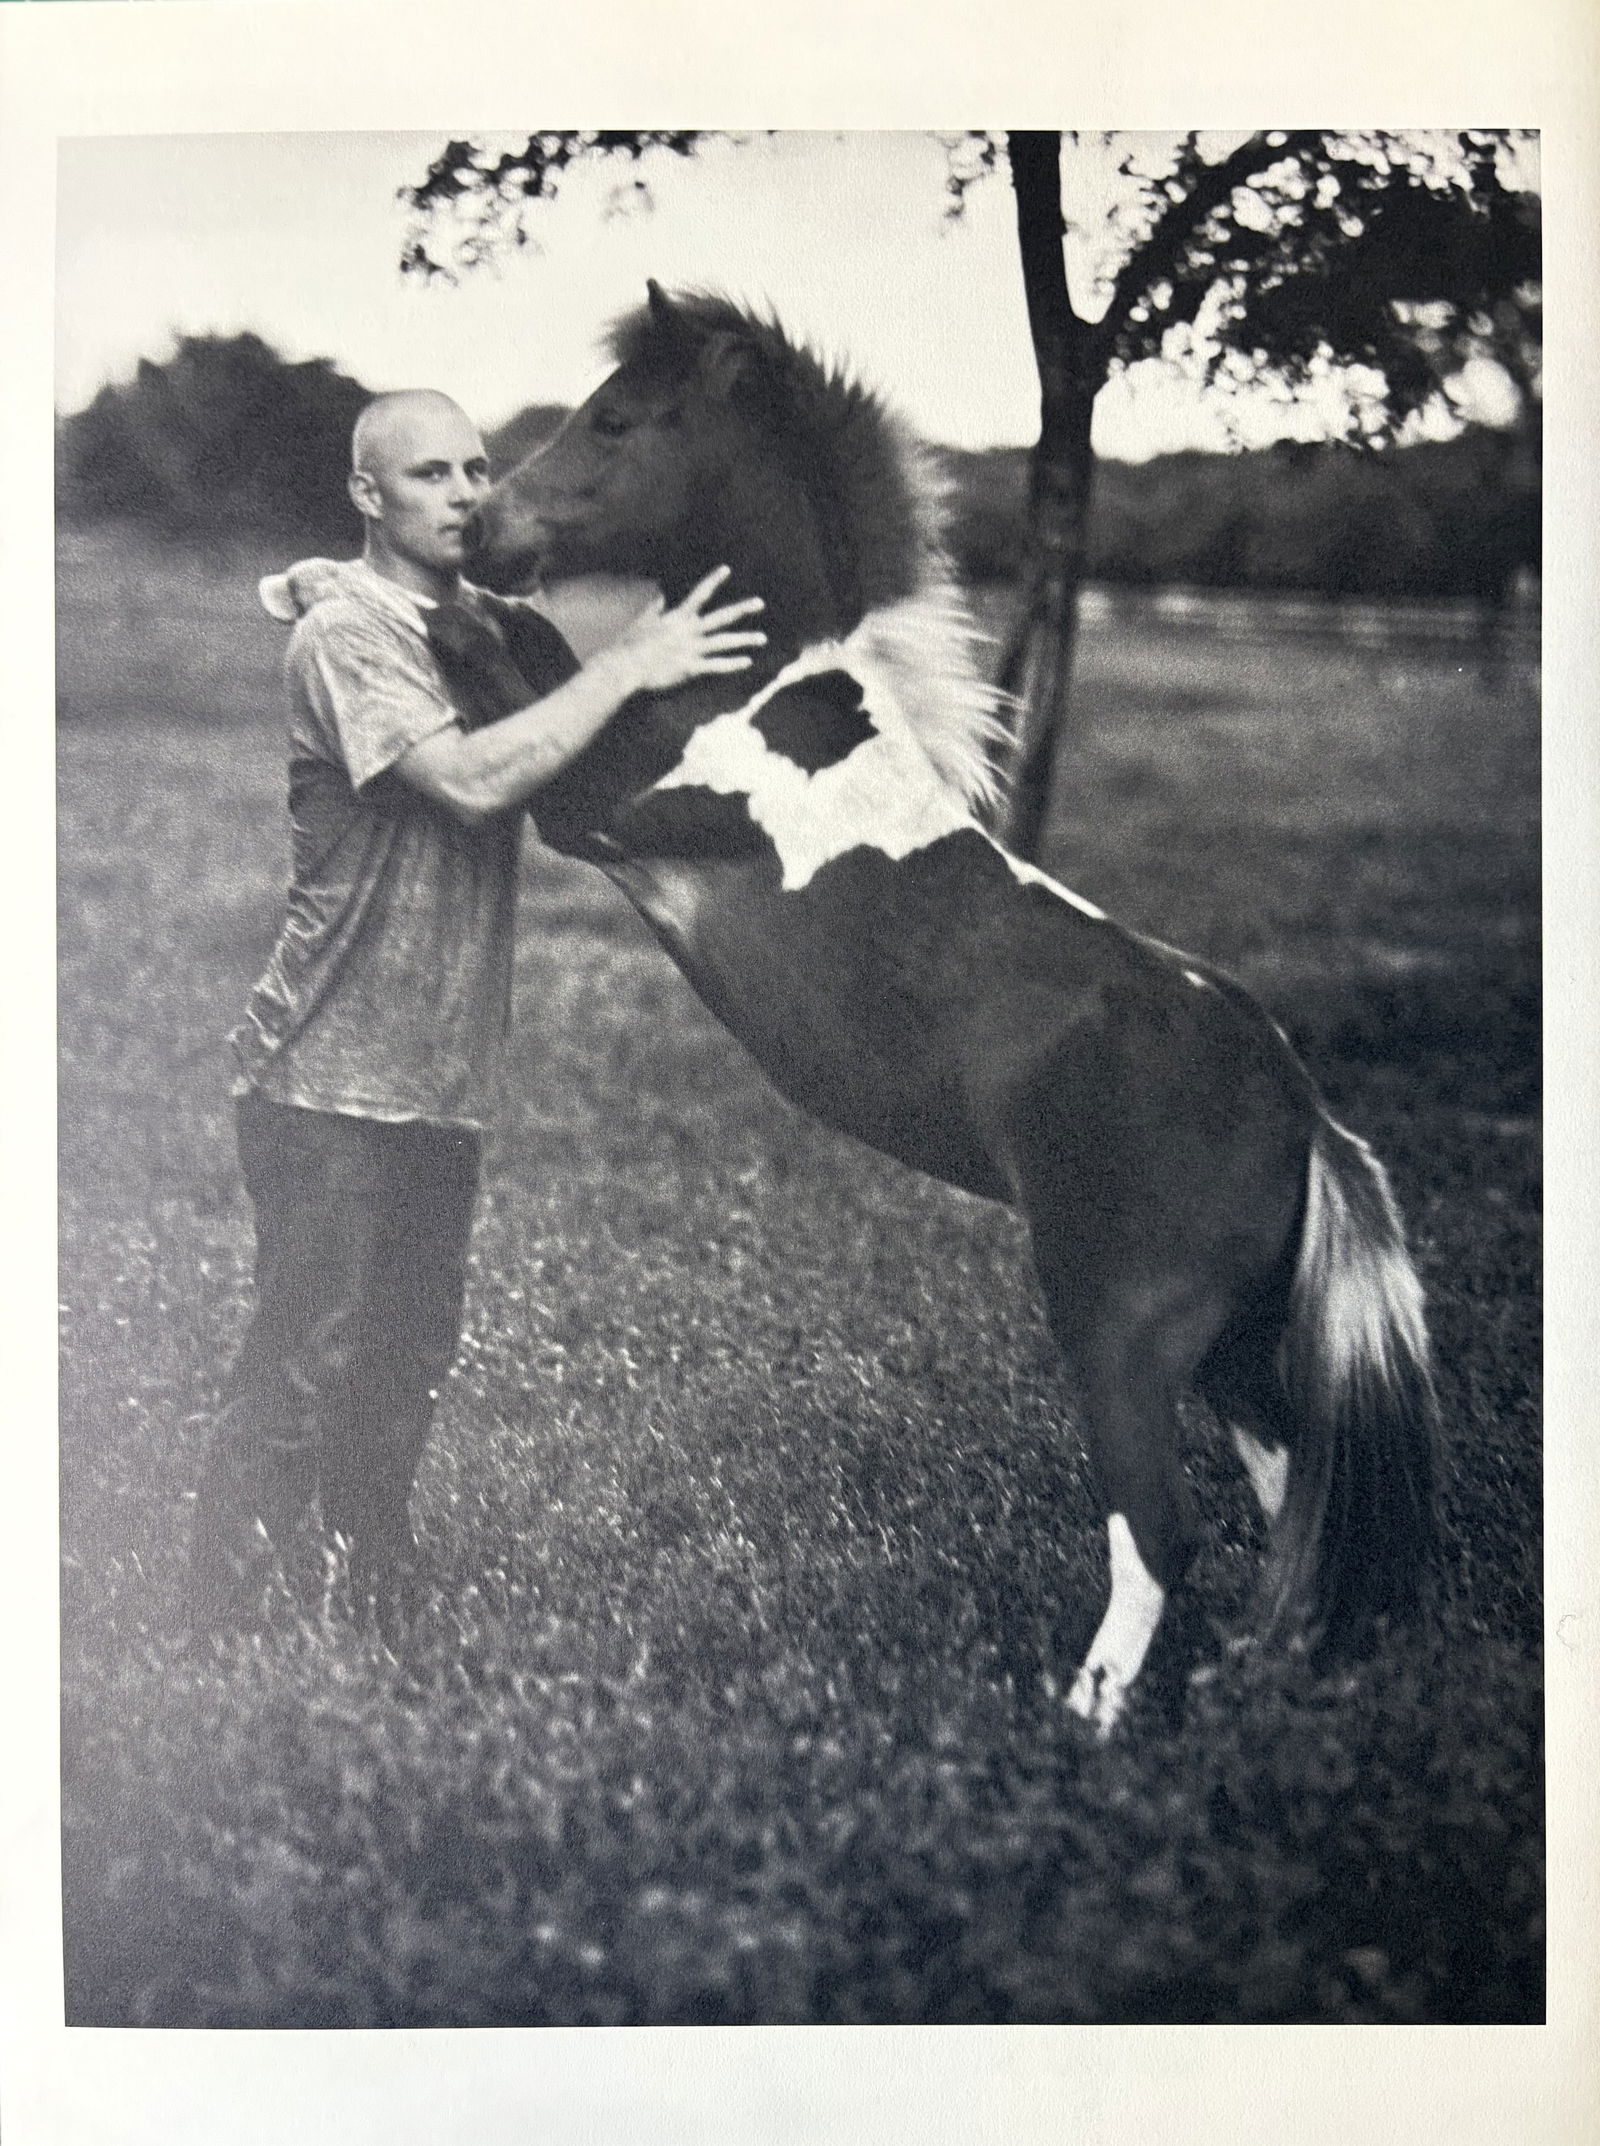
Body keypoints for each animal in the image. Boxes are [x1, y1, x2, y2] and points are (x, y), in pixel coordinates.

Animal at [465, 281, 1439, 1734]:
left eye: (618, 418)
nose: (480, 529)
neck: (769, 698)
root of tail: (1302, 1112)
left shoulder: (588, 809)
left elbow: (516, 661)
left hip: (1117, 1327)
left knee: (1161, 1529)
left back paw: (1085, 1719)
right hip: (1231, 1342)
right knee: (1288, 1496)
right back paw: (1250, 1681)